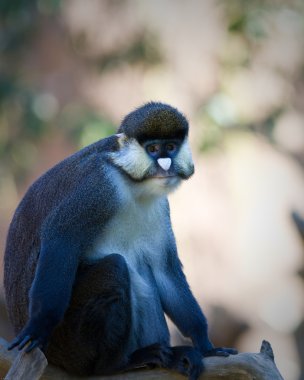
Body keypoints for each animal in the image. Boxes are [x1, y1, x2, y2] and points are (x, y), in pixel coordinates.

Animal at [4, 101, 238, 380]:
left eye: (171, 147)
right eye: (153, 149)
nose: (166, 165)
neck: (131, 181)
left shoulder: (160, 207)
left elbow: (163, 269)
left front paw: (205, 344)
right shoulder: (98, 187)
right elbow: (60, 240)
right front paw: (39, 325)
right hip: (70, 343)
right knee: (115, 267)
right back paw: (116, 364)